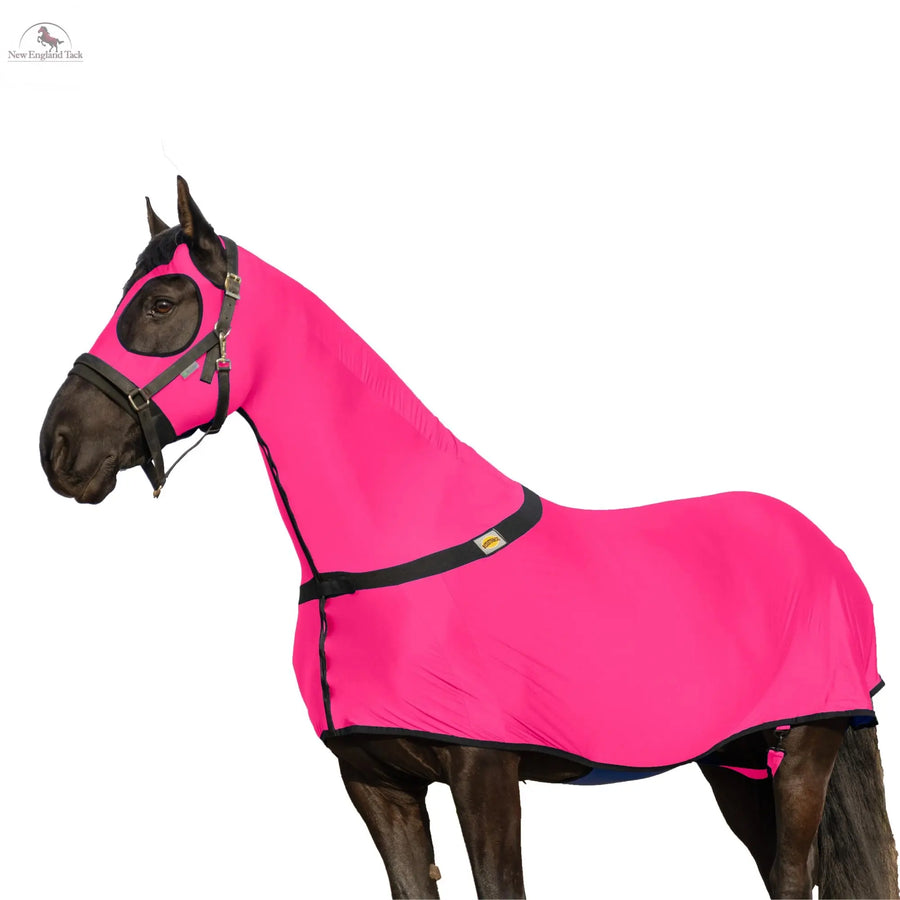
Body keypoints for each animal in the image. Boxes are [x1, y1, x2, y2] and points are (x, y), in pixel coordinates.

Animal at [39, 176, 898, 899]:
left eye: (162, 303)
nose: (59, 448)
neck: (392, 546)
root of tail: (823, 546)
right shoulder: (375, 783)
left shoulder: (485, 773)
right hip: (737, 760)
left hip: (807, 746)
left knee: (791, 876)